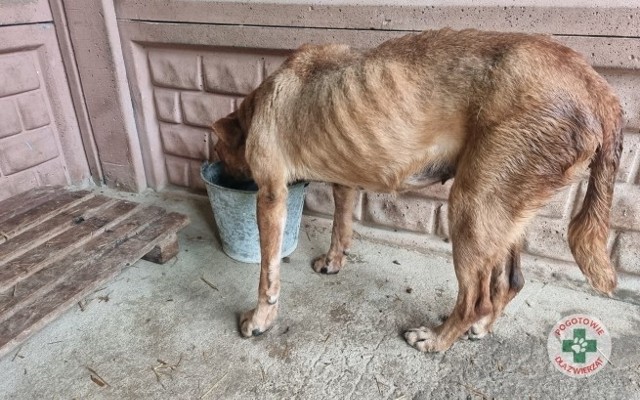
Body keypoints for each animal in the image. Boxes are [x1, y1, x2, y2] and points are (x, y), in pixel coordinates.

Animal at [212, 28, 624, 354]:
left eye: (220, 152)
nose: (224, 177)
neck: (258, 102)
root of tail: (596, 87)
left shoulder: (271, 196)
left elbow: (268, 274)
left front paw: (260, 319)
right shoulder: (344, 181)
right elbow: (340, 226)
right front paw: (334, 261)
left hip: (471, 208)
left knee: (474, 299)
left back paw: (438, 340)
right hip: (502, 213)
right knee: (510, 281)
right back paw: (481, 328)